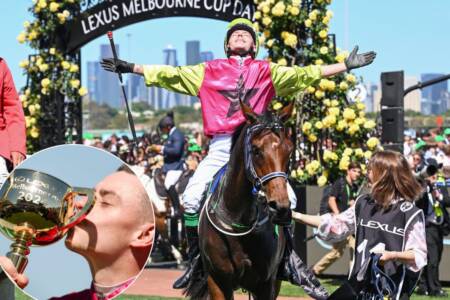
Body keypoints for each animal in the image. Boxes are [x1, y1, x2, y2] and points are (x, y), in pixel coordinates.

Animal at [187, 101, 296, 300]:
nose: (280, 207)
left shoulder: (266, 283)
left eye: (290, 150)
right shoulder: (217, 280)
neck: (237, 219)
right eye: (256, 150)